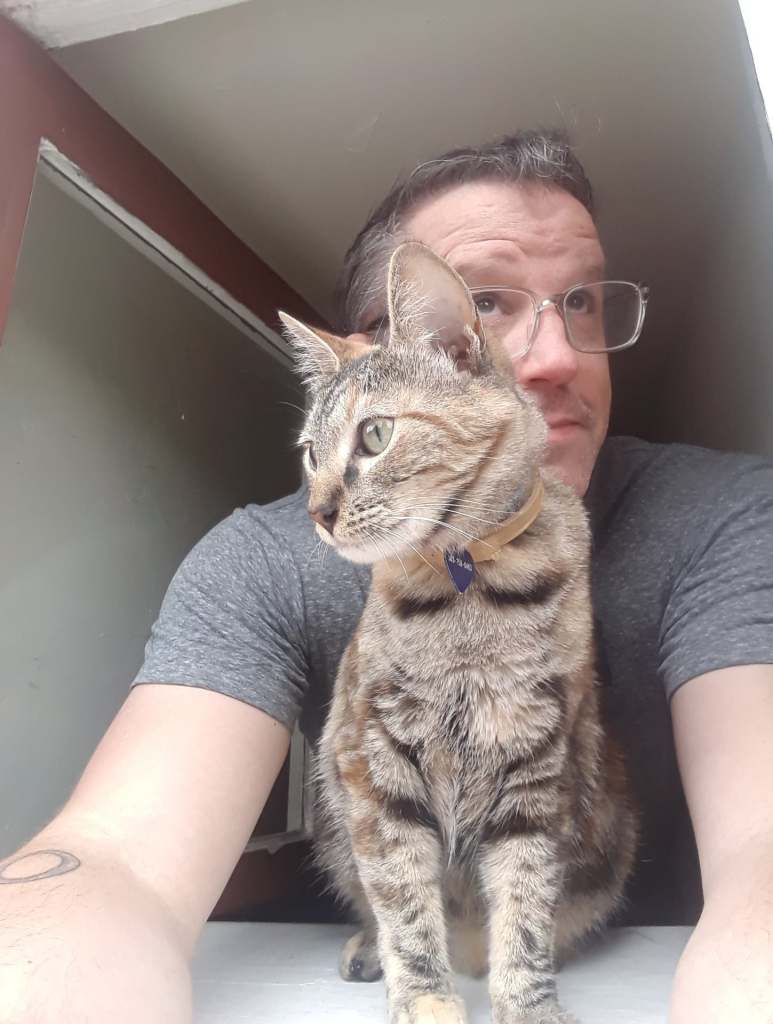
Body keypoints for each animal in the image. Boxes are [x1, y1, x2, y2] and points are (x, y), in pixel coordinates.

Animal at [279, 241, 638, 1024]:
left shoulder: (537, 764)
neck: (467, 585)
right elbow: (404, 905)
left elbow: (526, 906)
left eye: (375, 435)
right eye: (311, 453)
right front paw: (424, 1000)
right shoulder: (376, 763)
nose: (317, 512)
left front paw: (528, 1003)